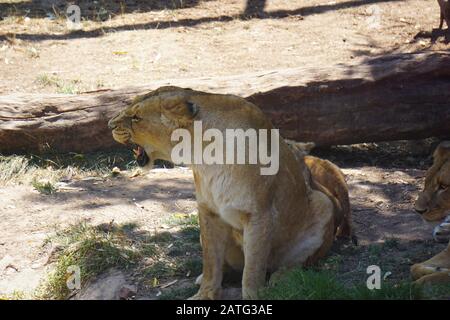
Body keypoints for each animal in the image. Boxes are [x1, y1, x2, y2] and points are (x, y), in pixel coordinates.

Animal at [108, 86, 352, 298]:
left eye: (136, 117)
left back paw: (281, 278)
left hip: (323, 204)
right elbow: (211, 262)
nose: (109, 124)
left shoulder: (259, 215)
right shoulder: (208, 211)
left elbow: (252, 269)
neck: (204, 155)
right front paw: (204, 294)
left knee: (296, 263)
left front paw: (254, 297)